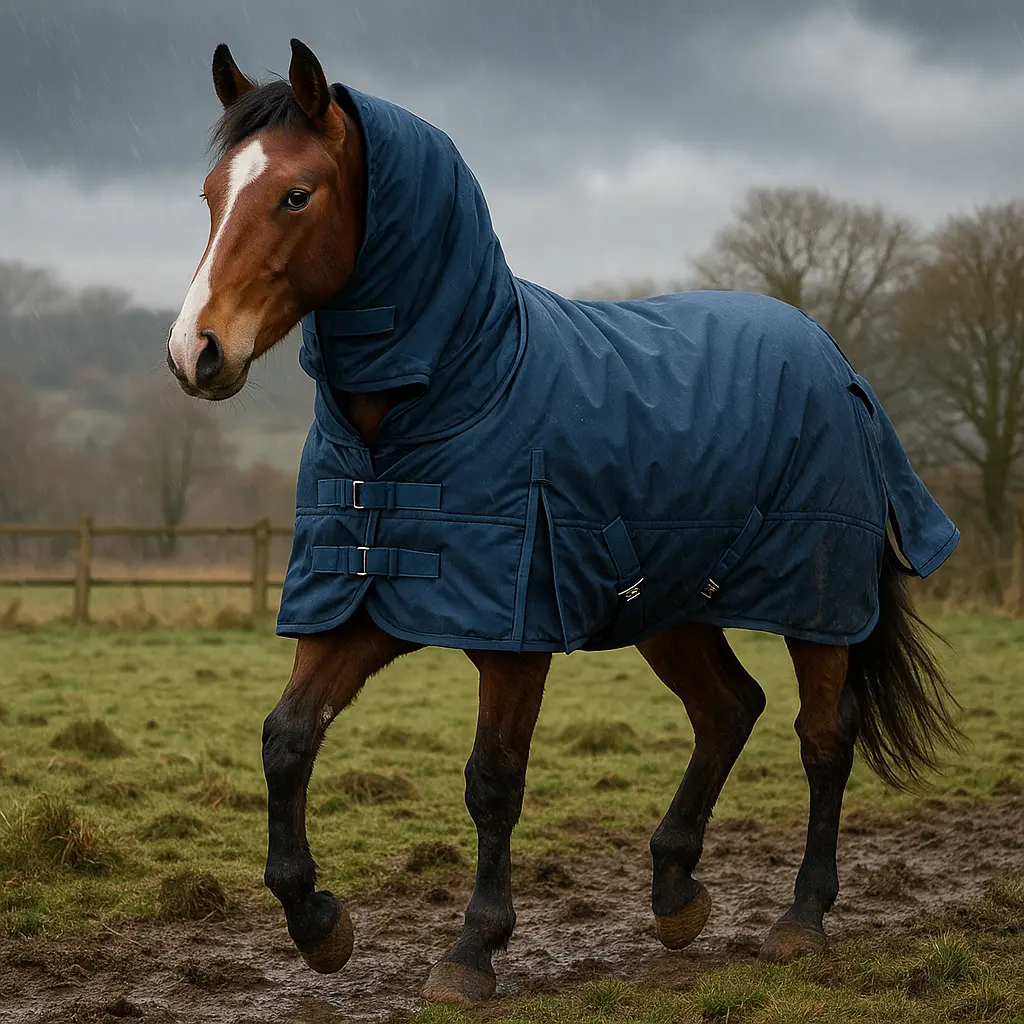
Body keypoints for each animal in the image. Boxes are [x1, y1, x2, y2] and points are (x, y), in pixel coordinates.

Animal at [166, 39, 962, 1007]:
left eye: (295, 194)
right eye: (211, 193)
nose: (196, 349)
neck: (438, 402)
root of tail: (833, 356)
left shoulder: (515, 631)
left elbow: (493, 781)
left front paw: (471, 951)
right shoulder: (366, 598)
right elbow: (286, 741)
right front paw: (318, 923)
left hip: (818, 607)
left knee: (822, 738)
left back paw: (801, 920)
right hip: (668, 605)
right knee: (728, 709)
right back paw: (675, 893)